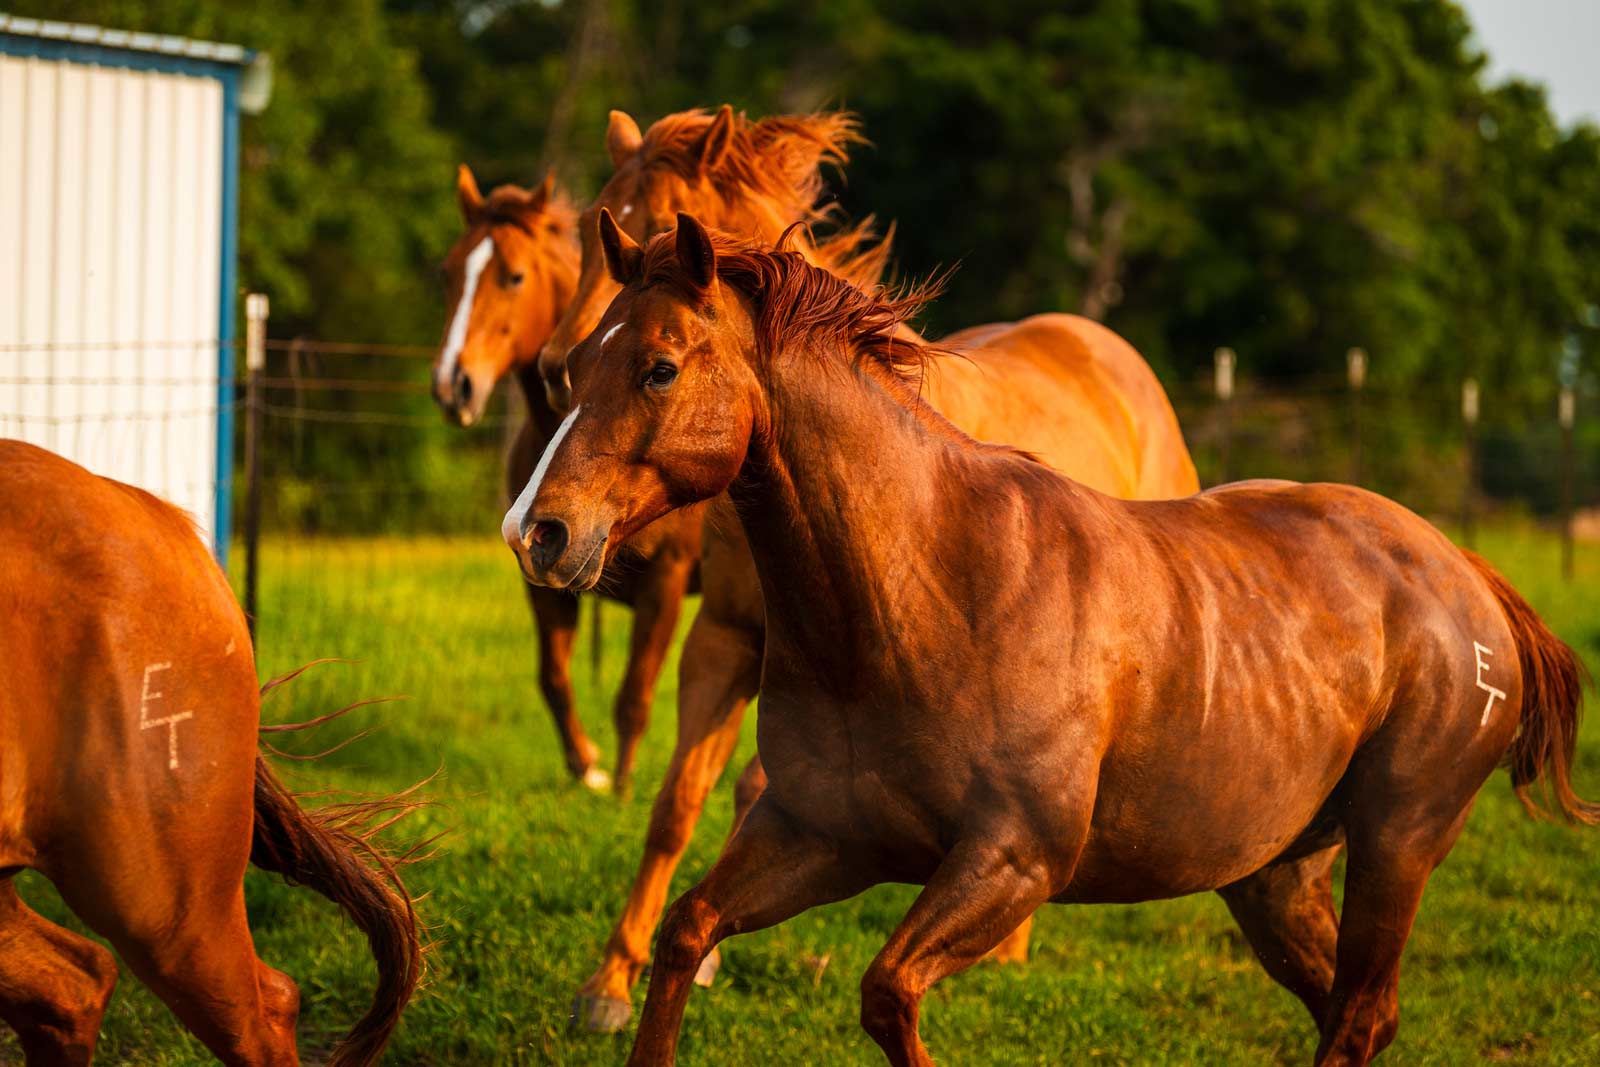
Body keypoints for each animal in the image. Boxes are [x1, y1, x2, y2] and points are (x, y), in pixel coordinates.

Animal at [505, 219, 1593, 1067]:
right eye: (575, 366)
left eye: (659, 366)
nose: (538, 532)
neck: (927, 586)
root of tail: (1468, 575)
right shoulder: (822, 836)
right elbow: (687, 931)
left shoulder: (1012, 860)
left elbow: (887, 991)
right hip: (1273, 876)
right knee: (1349, 1010)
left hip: (1394, 849)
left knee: (1360, 1011)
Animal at [537, 103, 1203, 1030]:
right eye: (592, 222)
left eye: (666, 217)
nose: (554, 368)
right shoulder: (723, 640)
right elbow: (675, 804)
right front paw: (610, 980)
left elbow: (751, 788)